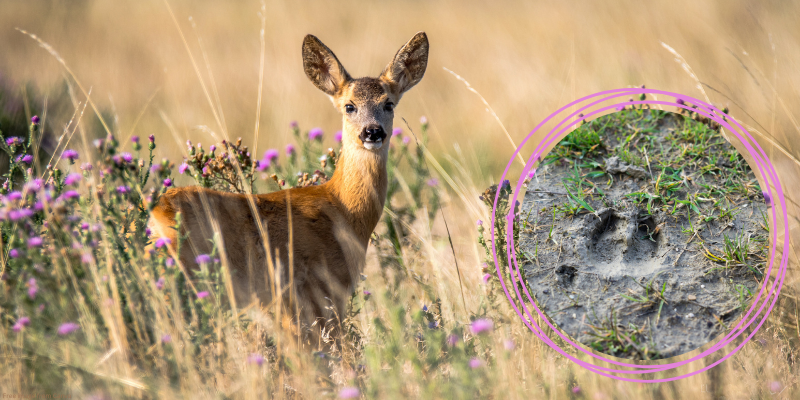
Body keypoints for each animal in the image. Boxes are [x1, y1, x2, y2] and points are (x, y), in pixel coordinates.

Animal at [148, 31, 428, 344]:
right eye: (349, 106)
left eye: (389, 104)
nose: (373, 132)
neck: (343, 210)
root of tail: (156, 214)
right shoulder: (319, 290)